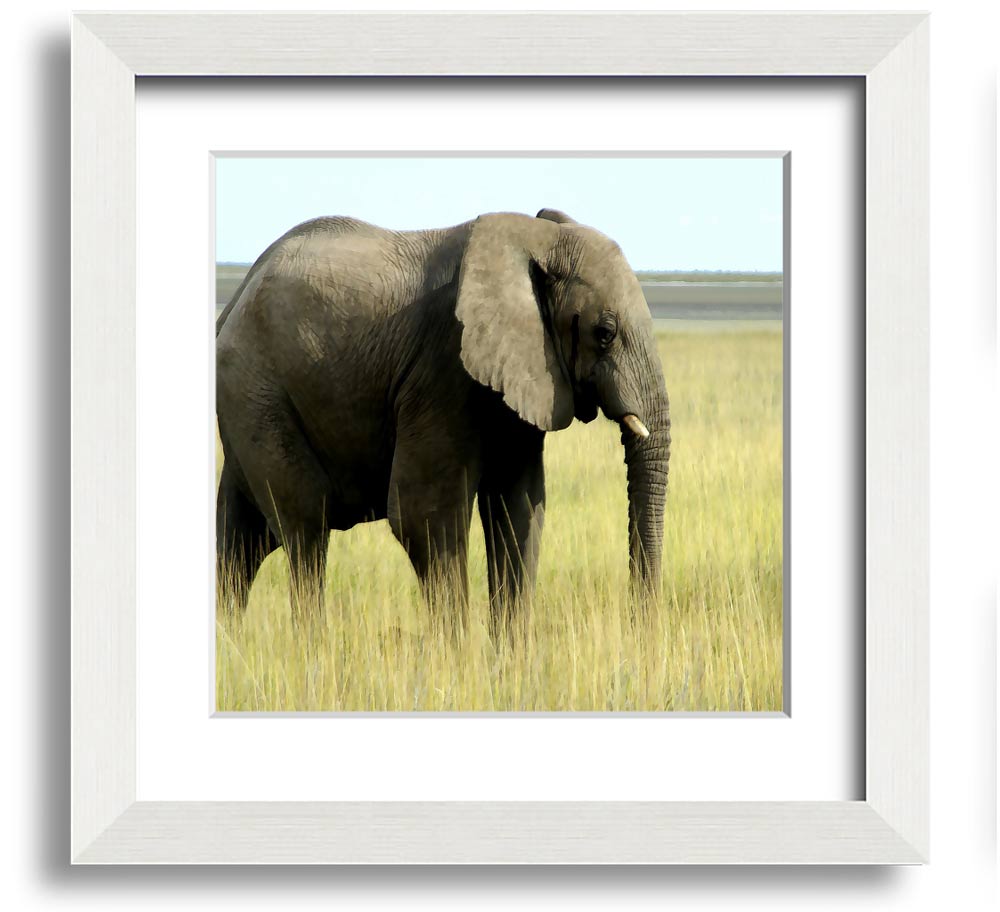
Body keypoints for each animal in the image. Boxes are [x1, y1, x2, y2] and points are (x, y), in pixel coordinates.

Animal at [215, 208, 670, 634]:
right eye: (605, 332)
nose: (637, 625)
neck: (534, 239)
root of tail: (237, 296)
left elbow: (520, 506)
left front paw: (510, 659)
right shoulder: (442, 367)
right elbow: (426, 517)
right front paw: (456, 655)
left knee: (242, 537)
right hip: (257, 393)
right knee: (305, 527)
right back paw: (313, 648)